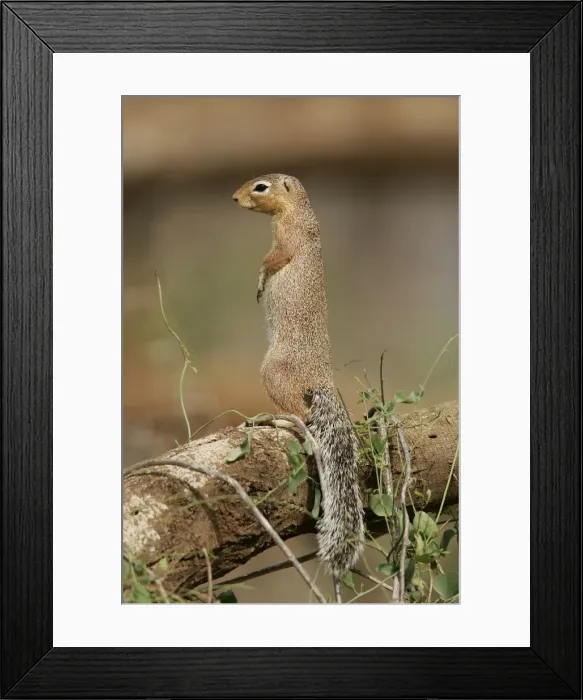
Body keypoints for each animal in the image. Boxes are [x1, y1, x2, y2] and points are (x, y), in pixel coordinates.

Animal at [232, 173, 365, 583]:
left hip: (273, 371)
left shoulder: (288, 239)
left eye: (260, 187)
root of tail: (320, 380)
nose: (234, 198)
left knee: (300, 416)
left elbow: (275, 258)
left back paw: (272, 418)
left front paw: (260, 280)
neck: (300, 211)